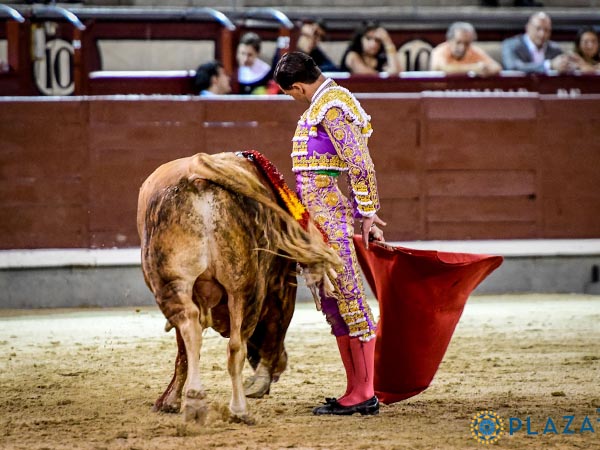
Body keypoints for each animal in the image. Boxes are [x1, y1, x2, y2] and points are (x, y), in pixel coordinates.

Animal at [138, 153, 340, 424]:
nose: (281, 367)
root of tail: (197, 175)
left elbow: (183, 352)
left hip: (198, 284)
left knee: (205, 334)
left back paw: (214, 404)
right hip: (230, 286)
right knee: (228, 343)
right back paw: (220, 404)